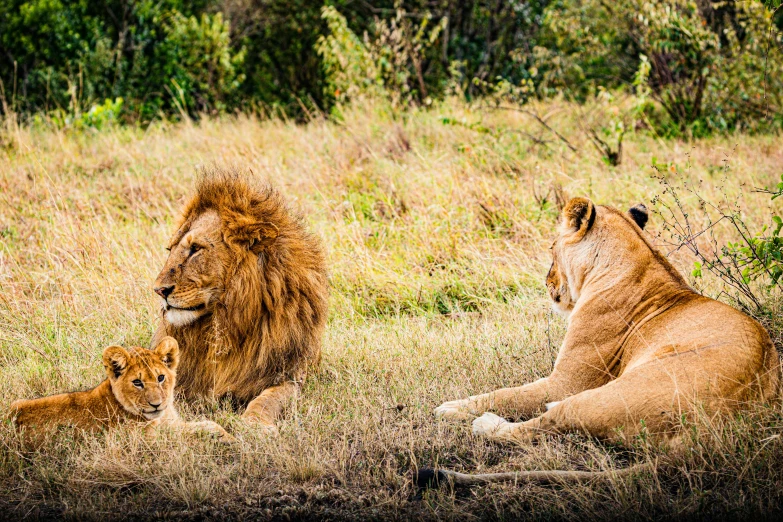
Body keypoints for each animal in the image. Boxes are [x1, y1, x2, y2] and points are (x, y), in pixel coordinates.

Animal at [152, 167, 330, 430]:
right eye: (170, 250)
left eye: (195, 249)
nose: (159, 290)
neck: (225, 322)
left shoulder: (290, 374)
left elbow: (268, 399)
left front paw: (254, 425)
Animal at [438, 197, 780, 444]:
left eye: (551, 249)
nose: (546, 281)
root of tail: (715, 428)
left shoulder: (566, 383)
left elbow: (506, 395)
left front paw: (452, 406)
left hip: (610, 394)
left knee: (545, 424)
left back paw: (484, 424)